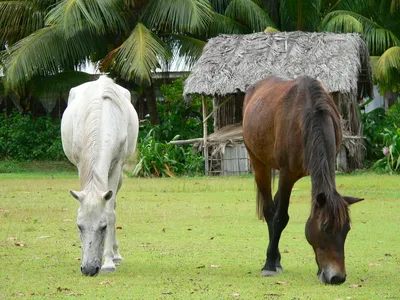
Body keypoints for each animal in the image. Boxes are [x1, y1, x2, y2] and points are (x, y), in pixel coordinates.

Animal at [61, 76, 139, 276]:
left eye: (103, 227)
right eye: (79, 225)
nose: (89, 269)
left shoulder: (117, 166)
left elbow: (111, 213)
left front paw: (109, 262)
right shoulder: (80, 164)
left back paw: (116, 254)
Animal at [242, 75, 364, 284]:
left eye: (346, 229)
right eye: (325, 228)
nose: (337, 278)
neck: (309, 116)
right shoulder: (286, 174)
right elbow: (280, 218)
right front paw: (269, 266)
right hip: (258, 162)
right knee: (269, 210)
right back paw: (273, 260)